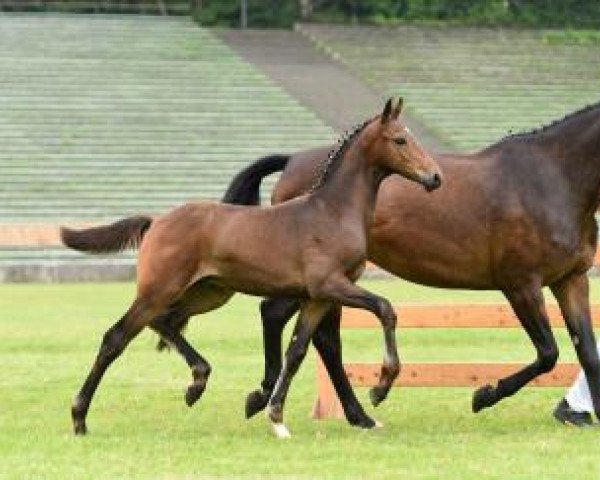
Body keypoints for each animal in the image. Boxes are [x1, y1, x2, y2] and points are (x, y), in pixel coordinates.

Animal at [63, 98, 440, 438]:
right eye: (400, 139)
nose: (435, 177)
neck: (332, 211)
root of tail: (156, 222)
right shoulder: (330, 285)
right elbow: (385, 308)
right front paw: (380, 387)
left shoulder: (317, 297)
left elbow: (297, 350)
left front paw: (276, 416)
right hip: (160, 289)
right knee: (116, 337)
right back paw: (80, 418)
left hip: (209, 293)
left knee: (166, 322)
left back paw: (197, 383)